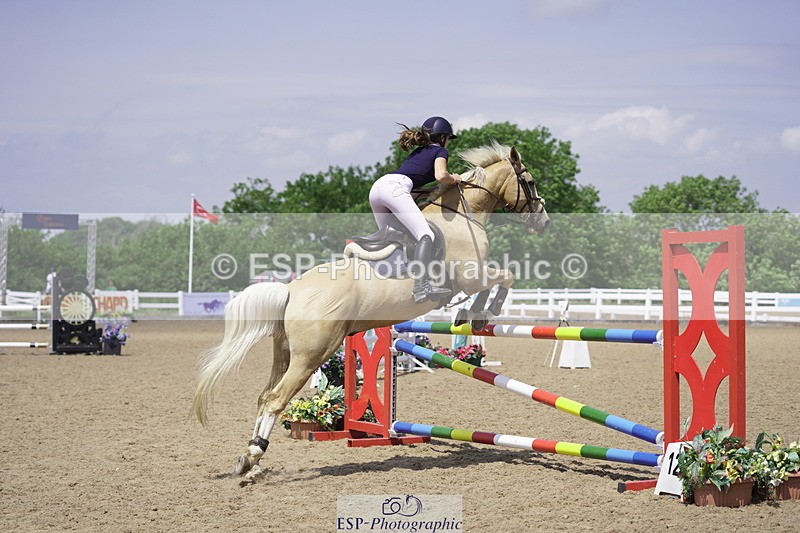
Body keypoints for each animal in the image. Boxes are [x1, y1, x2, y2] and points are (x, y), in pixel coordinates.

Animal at [192, 141, 550, 477]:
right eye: (530, 182)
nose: (543, 220)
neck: (461, 217)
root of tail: (291, 291)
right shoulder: (471, 276)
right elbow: (504, 277)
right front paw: (481, 313)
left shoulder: (472, 278)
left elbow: (496, 282)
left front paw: (469, 315)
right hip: (312, 354)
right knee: (276, 399)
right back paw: (253, 456)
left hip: (284, 353)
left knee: (265, 395)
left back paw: (248, 459)